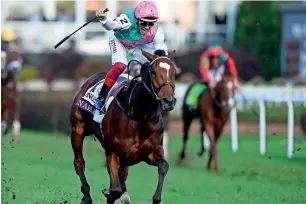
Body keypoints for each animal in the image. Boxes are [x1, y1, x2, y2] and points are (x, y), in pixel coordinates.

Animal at [69, 49, 175, 204]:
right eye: (153, 72)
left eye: (174, 72)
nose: (168, 101)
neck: (140, 117)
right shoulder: (112, 152)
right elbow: (115, 189)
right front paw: (111, 193)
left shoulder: (150, 153)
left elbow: (164, 166)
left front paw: (156, 197)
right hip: (77, 129)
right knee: (79, 163)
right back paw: (87, 196)